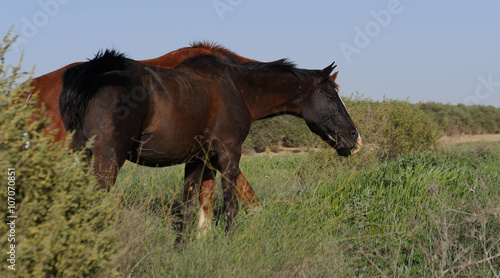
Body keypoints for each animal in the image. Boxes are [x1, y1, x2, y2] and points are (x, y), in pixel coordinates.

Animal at [60, 50, 362, 232]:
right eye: (331, 96)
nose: (354, 137)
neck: (237, 87)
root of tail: (94, 75)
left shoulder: (197, 159)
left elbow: (192, 206)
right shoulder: (229, 156)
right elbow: (230, 203)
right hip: (107, 162)